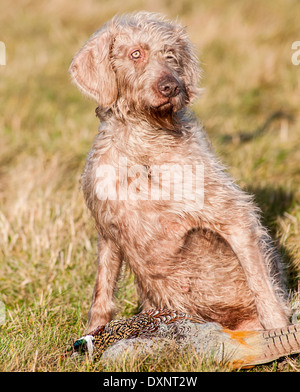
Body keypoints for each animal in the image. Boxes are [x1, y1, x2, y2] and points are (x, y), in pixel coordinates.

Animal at [69, 11, 290, 330]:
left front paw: (279, 329)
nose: (171, 87)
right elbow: (102, 292)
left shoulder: (233, 215)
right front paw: (94, 333)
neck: (143, 144)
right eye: (136, 54)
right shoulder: (108, 229)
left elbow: (261, 281)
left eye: (171, 55)